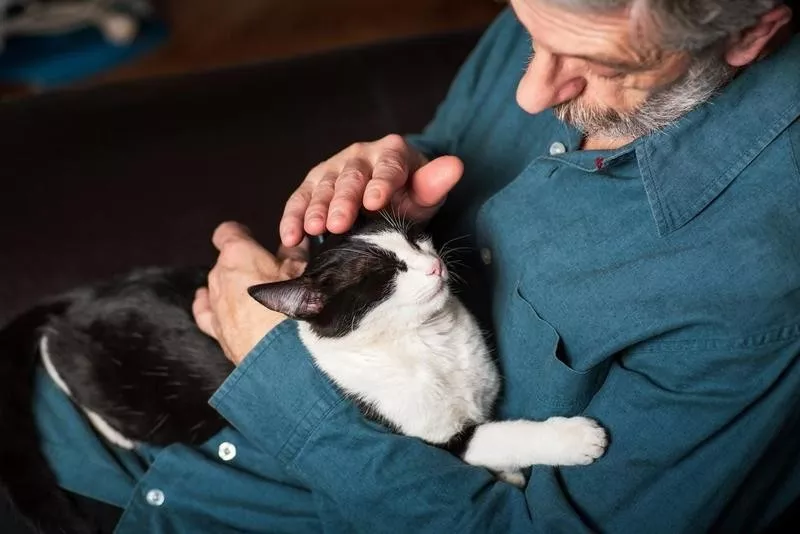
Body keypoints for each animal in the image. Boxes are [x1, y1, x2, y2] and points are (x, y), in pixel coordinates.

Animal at [0, 219, 608, 534]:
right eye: (384, 274)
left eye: (416, 241)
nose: (435, 263)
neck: (430, 342)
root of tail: (81, 297)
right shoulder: (427, 436)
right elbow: (501, 434)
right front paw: (571, 439)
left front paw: (509, 474)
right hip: (130, 394)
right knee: (64, 361)